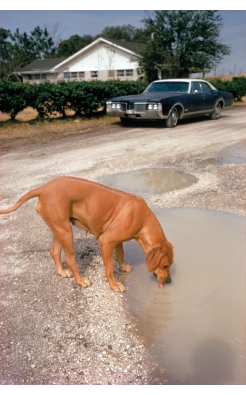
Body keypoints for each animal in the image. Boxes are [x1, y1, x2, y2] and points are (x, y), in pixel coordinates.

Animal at [0, 176, 174, 290]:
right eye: (165, 265)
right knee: (70, 260)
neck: (142, 219)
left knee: (54, 252)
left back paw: (62, 272)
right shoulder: (106, 241)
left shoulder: (117, 241)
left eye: (170, 265)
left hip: (59, 228)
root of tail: (43, 188)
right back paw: (81, 281)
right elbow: (109, 267)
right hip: (66, 232)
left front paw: (123, 266)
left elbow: (120, 255)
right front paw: (114, 285)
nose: (169, 281)